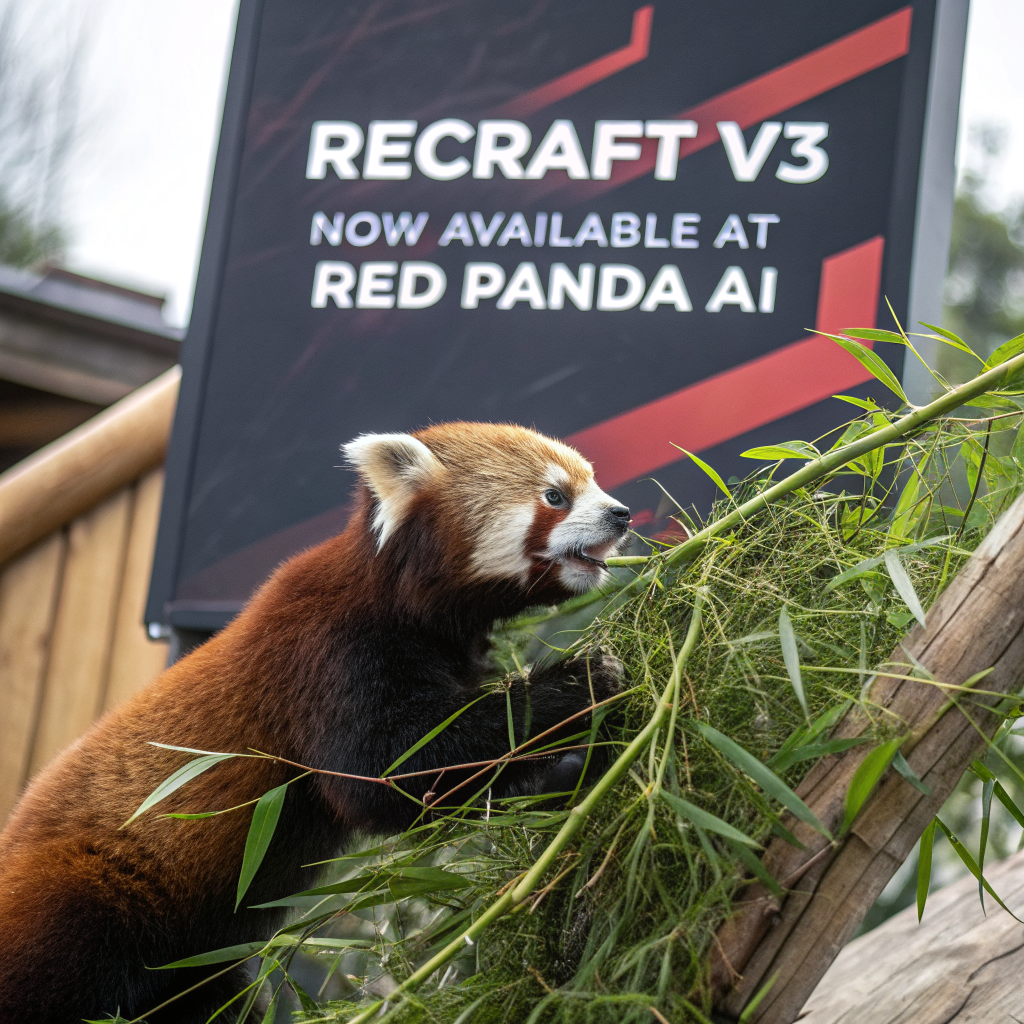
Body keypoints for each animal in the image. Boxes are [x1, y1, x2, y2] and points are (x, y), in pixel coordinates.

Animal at [0, 422, 629, 1023]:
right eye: (556, 495)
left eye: (594, 481)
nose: (621, 513)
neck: (400, 598)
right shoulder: (331, 653)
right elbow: (390, 771)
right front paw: (579, 683)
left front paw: (569, 771)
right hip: (83, 902)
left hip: (190, 971)